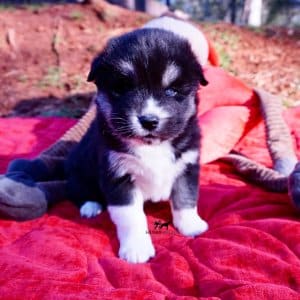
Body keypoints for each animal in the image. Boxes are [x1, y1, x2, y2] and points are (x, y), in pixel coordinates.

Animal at [65, 18, 209, 262]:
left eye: (172, 90)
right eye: (122, 88)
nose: (149, 121)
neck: (152, 147)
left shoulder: (187, 165)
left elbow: (186, 198)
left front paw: (191, 225)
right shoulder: (118, 176)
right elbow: (131, 217)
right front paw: (136, 249)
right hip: (78, 168)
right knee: (77, 189)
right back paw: (90, 206)